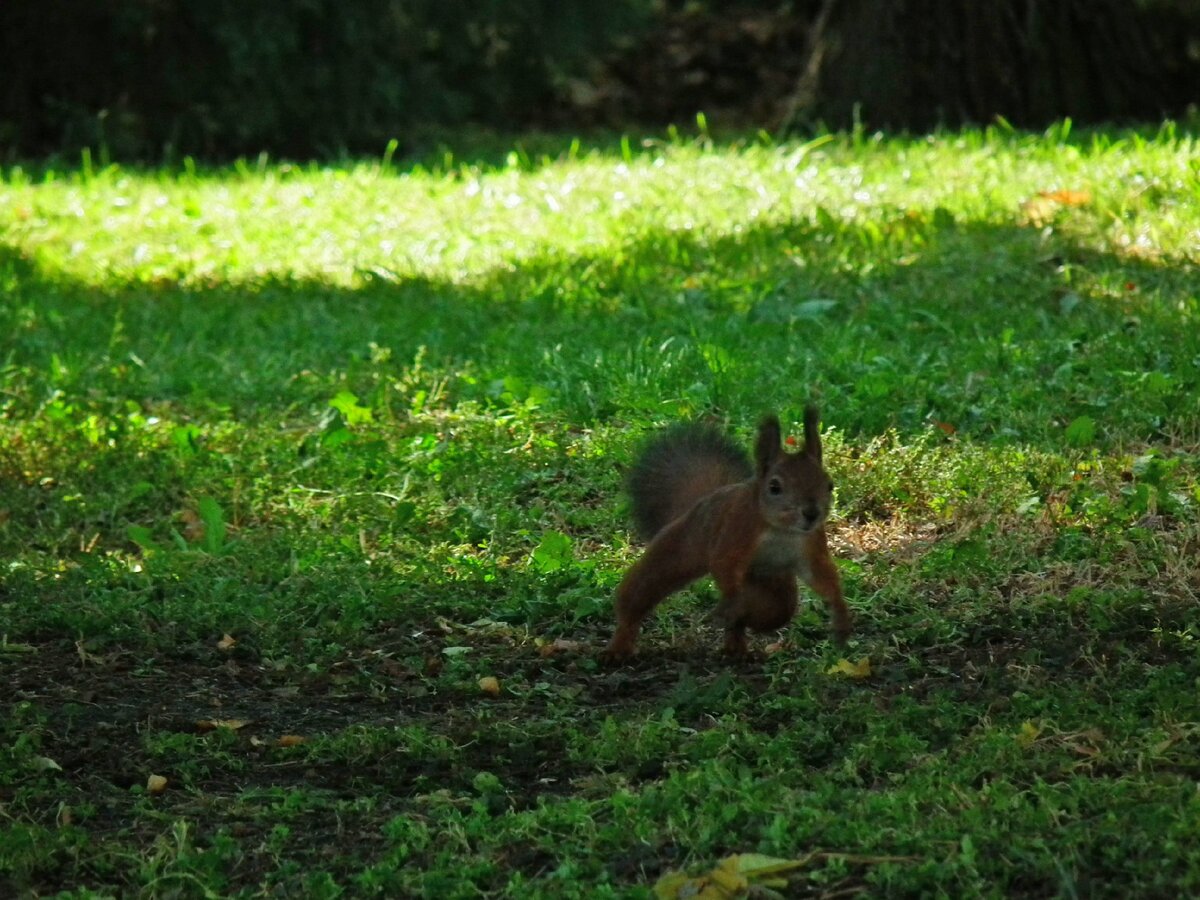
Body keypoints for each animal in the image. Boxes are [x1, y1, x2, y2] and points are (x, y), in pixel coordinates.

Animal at [604, 408, 849, 662]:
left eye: (829, 485)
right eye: (774, 487)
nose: (811, 513)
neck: (781, 529)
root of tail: (702, 501)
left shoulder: (812, 542)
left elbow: (821, 575)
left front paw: (840, 615)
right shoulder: (736, 529)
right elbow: (724, 563)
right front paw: (731, 601)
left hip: (772, 583)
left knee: (773, 611)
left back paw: (736, 643)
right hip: (679, 549)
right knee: (639, 594)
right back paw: (619, 645)